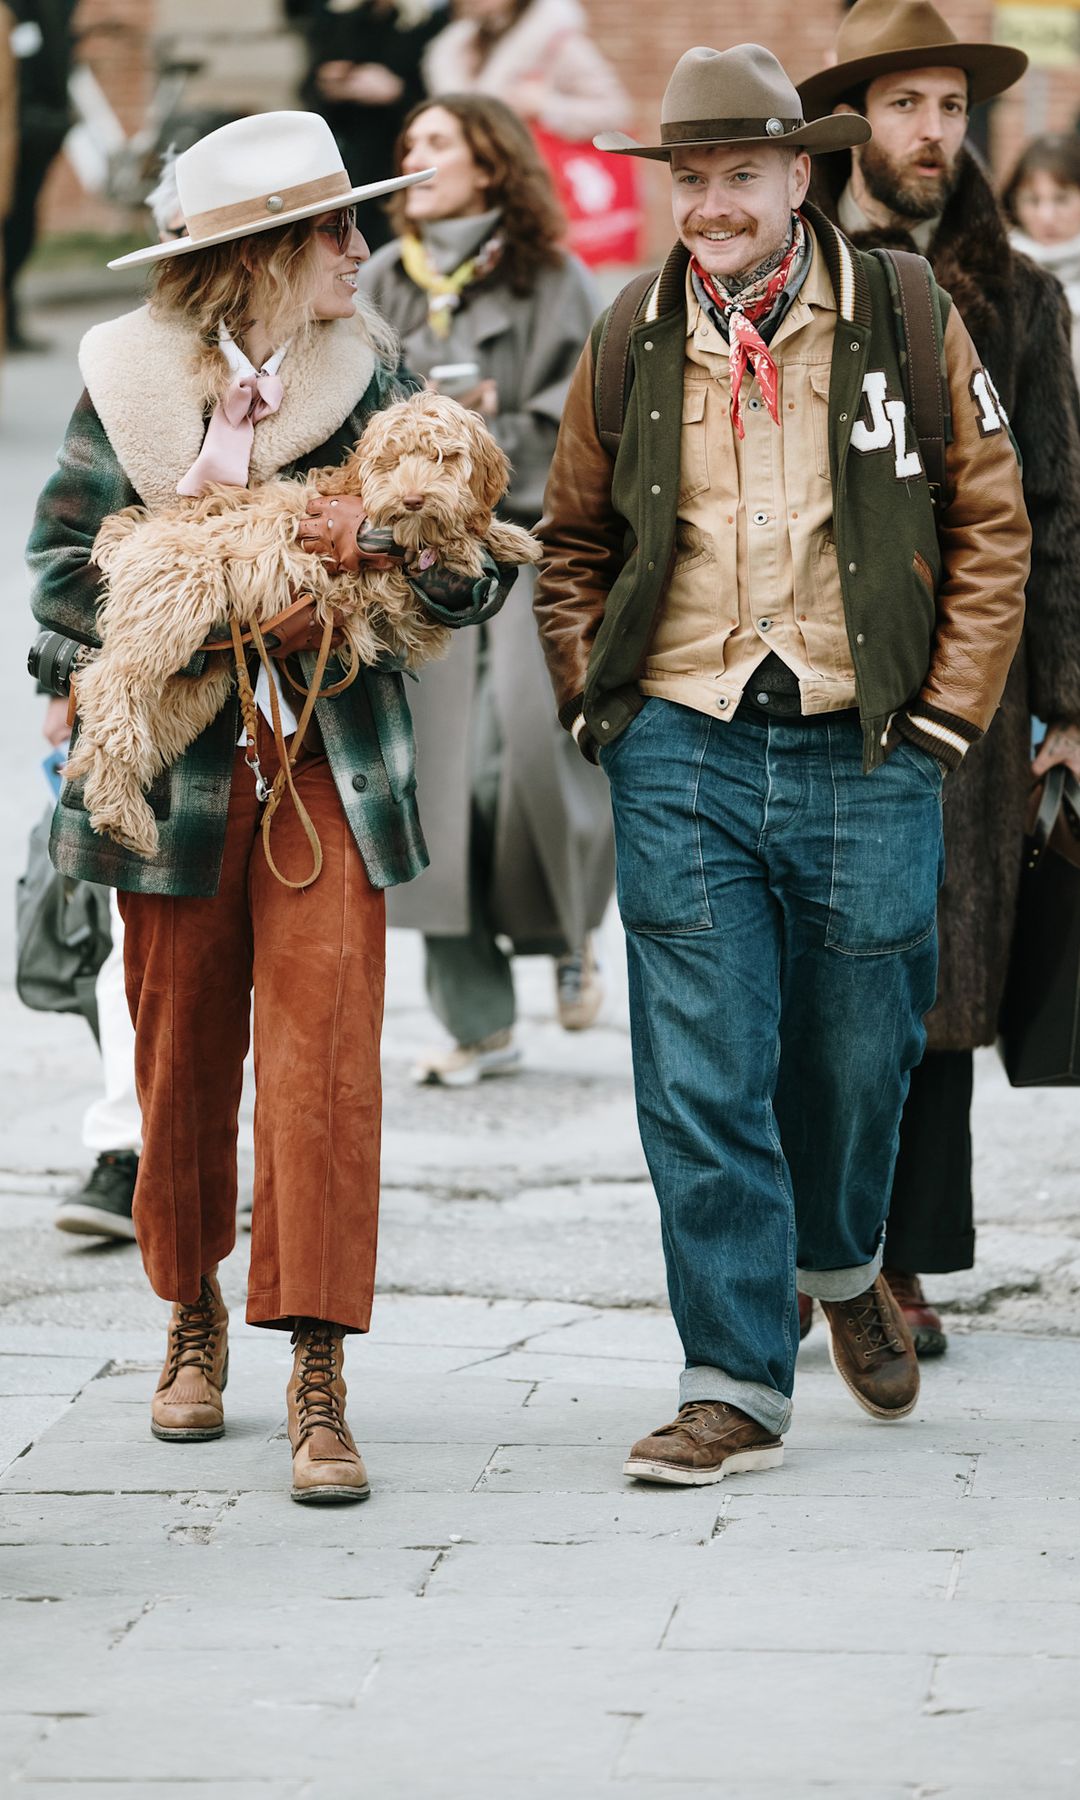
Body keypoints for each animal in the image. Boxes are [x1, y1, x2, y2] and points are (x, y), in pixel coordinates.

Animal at [67, 394, 540, 856]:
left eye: (444, 457)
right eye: (391, 462)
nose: (412, 500)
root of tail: (133, 535)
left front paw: (510, 538)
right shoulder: (366, 575)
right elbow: (440, 546)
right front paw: (474, 543)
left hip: (192, 687)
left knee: (116, 731)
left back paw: (119, 813)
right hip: (180, 597)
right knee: (109, 682)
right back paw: (121, 787)